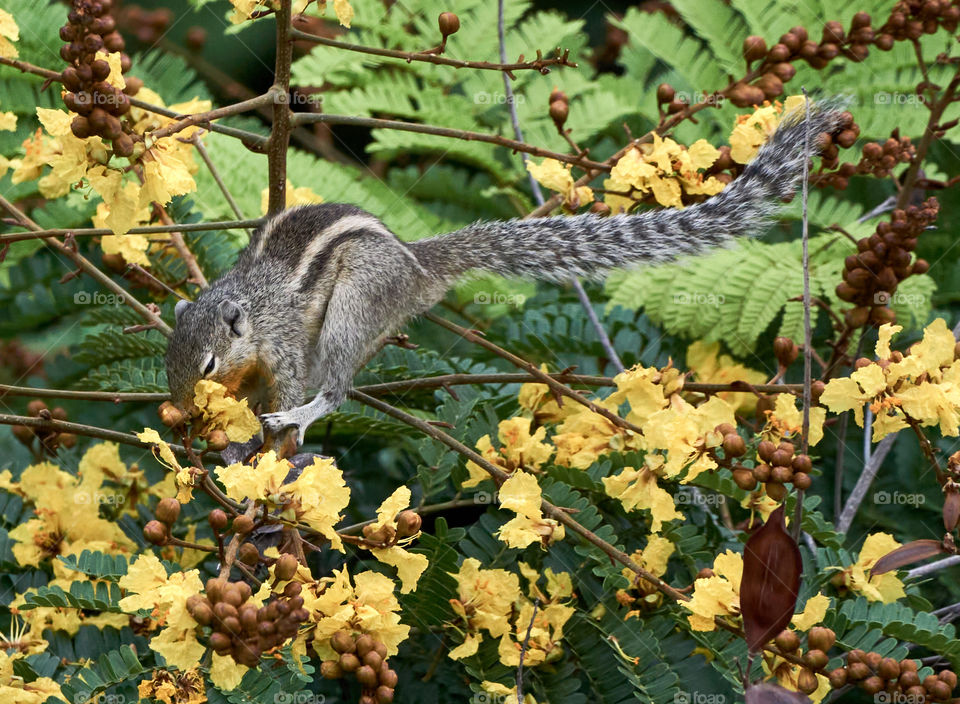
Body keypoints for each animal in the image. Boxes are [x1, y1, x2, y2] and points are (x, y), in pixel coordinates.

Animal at [165, 102, 840, 446]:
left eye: (207, 364)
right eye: (169, 364)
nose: (180, 414)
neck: (247, 307)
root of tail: (417, 268)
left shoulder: (281, 342)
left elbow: (290, 383)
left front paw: (271, 425)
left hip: (356, 303)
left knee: (336, 384)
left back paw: (307, 413)